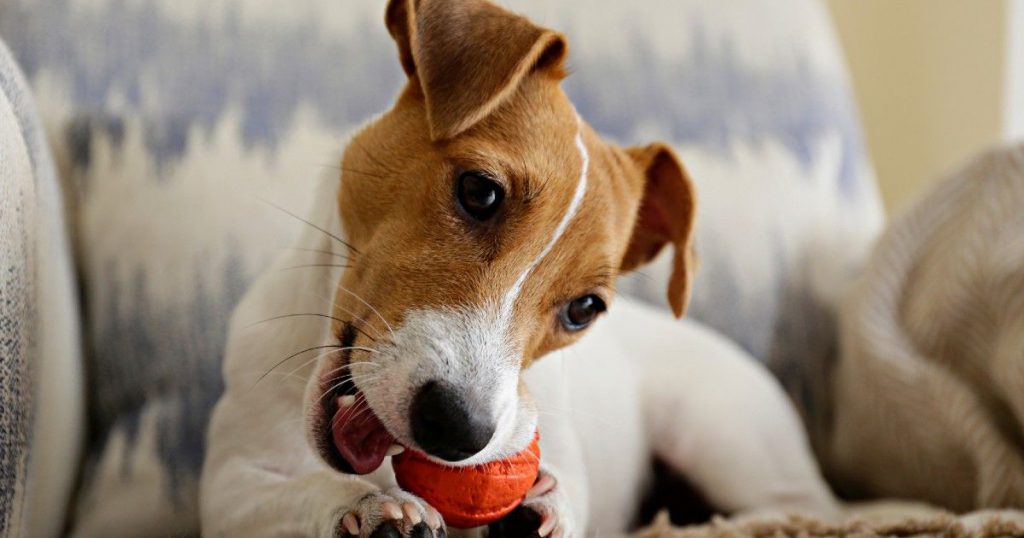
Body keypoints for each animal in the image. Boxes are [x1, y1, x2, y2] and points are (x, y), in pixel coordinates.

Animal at [199, 1, 839, 536]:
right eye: (479, 192)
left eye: (584, 308)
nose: (457, 430)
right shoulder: (229, 485)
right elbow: (294, 492)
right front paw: (368, 507)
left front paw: (544, 505)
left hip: (722, 438)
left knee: (795, 507)